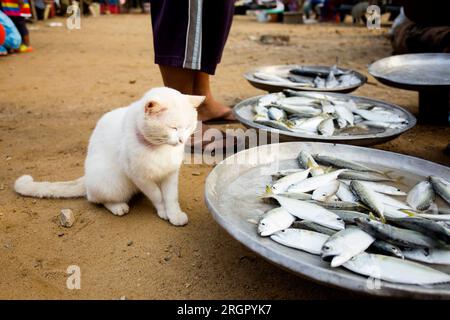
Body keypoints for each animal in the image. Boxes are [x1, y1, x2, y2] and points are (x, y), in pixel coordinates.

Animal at [14, 87, 204, 226]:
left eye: (188, 126)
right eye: (173, 128)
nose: (182, 140)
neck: (160, 148)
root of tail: (86, 178)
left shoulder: (170, 174)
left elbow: (171, 197)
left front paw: (174, 214)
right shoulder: (139, 176)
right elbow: (156, 195)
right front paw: (163, 211)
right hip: (112, 181)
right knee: (96, 198)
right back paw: (118, 206)